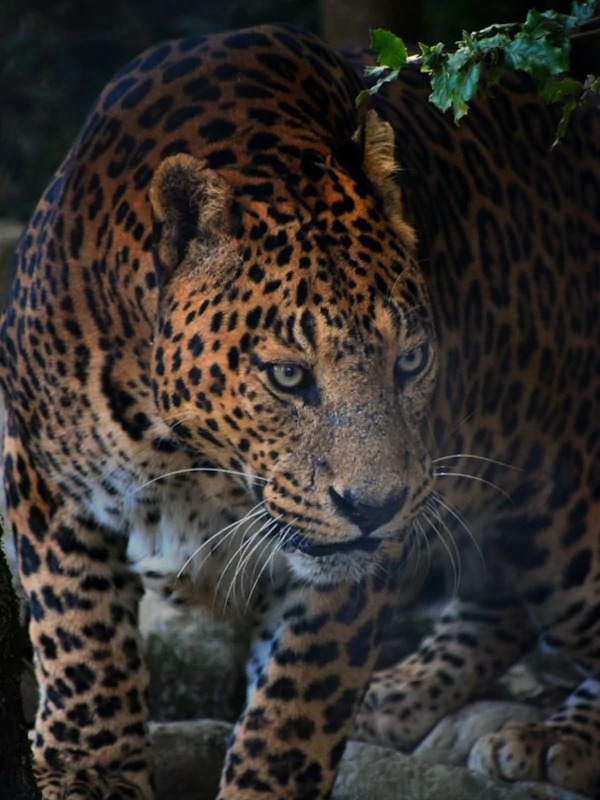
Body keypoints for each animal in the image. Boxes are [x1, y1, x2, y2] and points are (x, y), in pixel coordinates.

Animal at [0, 20, 599, 800]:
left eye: (410, 363)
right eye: (288, 376)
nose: (376, 507)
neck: (189, 460)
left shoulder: (348, 572)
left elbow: (295, 705)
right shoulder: (42, 473)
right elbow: (78, 639)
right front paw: (85, 769)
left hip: (562, 511)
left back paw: (554, 738)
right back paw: (396, 698)